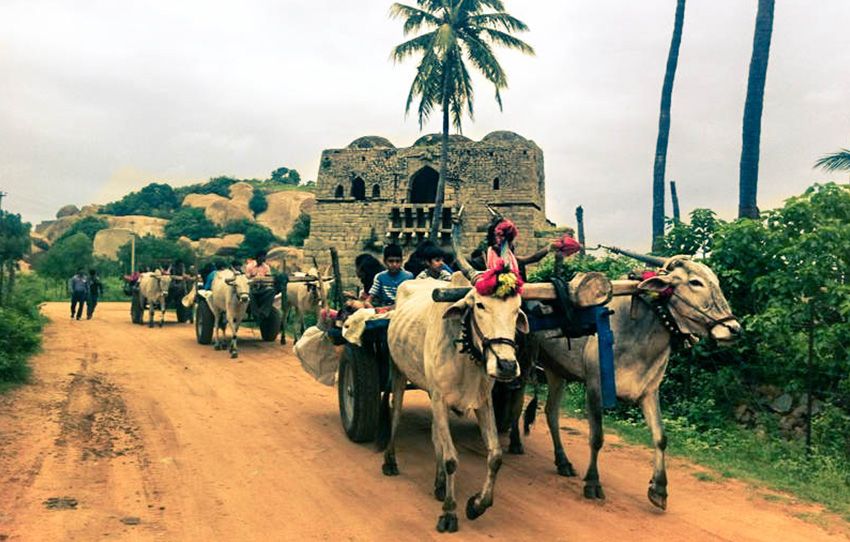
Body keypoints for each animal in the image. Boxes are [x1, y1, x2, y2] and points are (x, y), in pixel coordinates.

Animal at [380, 268, 528, 536]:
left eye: (517, 309)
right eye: (480, 305)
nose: (507, 365)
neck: (465, 353)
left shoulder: (482, 402)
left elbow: (495, 456)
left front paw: (477, 505)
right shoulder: (439, 399)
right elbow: (451, 459)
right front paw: (449, 512)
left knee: (435, 434)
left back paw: (439, 484)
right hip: (398, 370)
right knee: (395, 414)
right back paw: (390, 460)